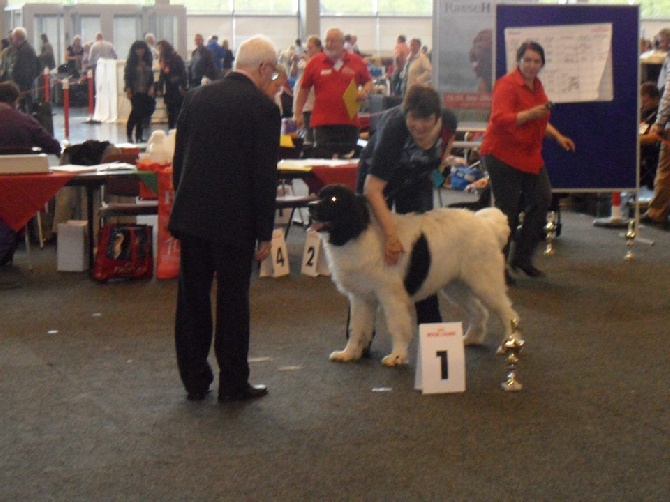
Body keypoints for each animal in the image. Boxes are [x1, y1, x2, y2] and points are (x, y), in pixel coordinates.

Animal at [308, 184, 520, 364]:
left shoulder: (391, 296)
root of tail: (486, 223)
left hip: (485, 283)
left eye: (334, 199)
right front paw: (349, 353)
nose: (310, 206)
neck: (358, 232)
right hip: (456, 286)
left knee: (508, 313)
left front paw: (397, 356)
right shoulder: (361, 297)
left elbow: (397, 326)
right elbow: (357, 328)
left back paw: (508, 344)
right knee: (479, 311)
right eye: (319, 196)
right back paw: (469, 339)